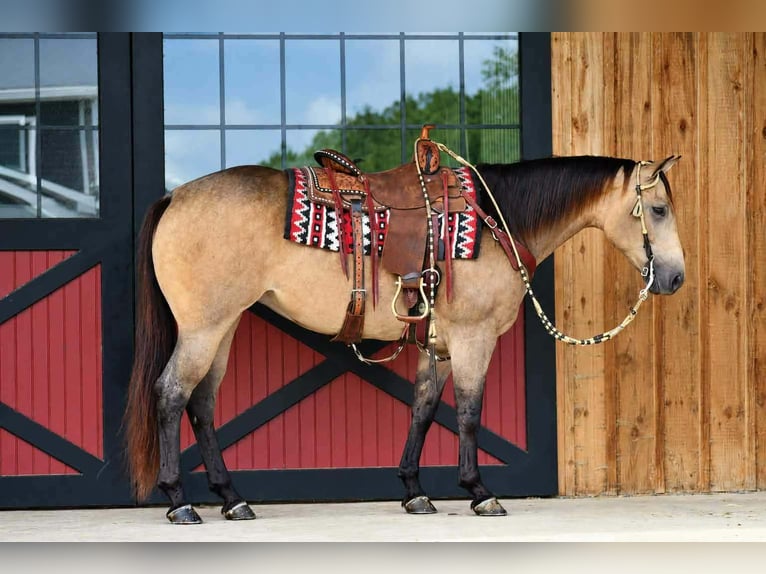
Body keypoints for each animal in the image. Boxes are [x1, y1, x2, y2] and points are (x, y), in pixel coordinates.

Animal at [124, 151, 685, 523]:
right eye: (658, 210)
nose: (675, 278)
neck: (497, 220)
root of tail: (175, 195)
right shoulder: (473, 339)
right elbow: (468, 412)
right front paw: (479, 491)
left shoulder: (439, 345)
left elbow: (423, 409)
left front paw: (415, 491)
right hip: (204, 328)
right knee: (171, 395)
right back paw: (180, 502)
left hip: (223, 327)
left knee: (202, 405)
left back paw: (232, 499)